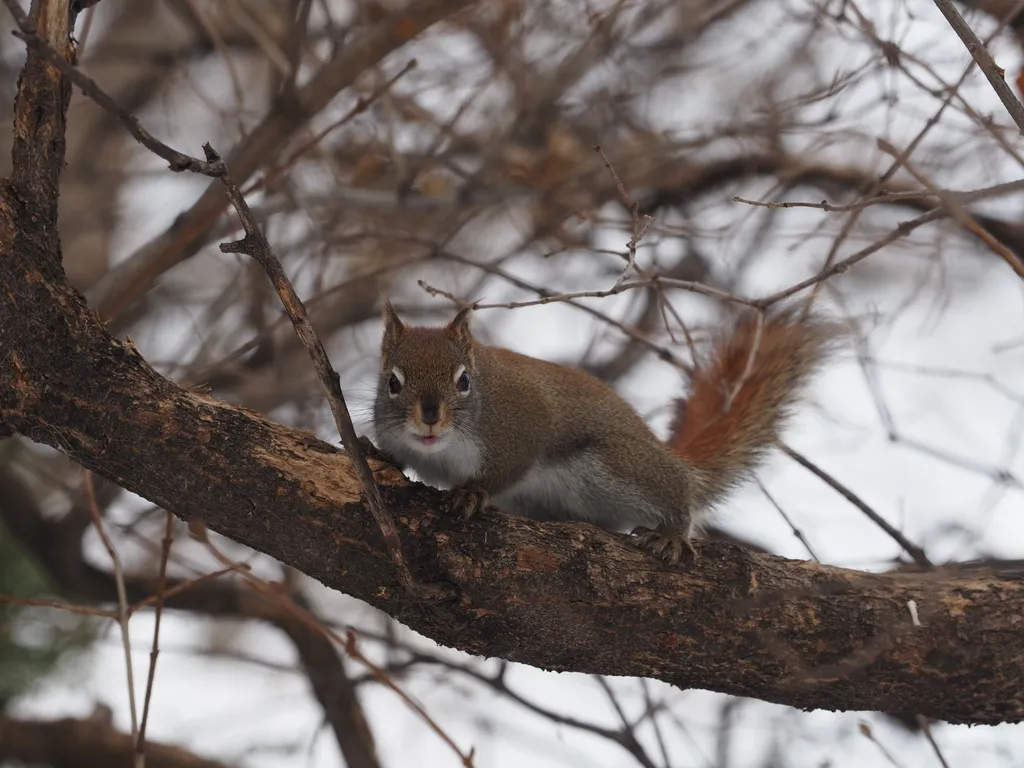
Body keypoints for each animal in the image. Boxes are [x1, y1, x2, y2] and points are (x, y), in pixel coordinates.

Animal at [372, 303, 835, 565]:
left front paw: (472, 491)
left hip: (614, 468)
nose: (430, 417)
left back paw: (671, 533)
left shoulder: (523, 427)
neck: (440, 450)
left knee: (675, 493)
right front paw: (375, 457)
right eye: (392, 382)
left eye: (464, 380)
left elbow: (507, 468)